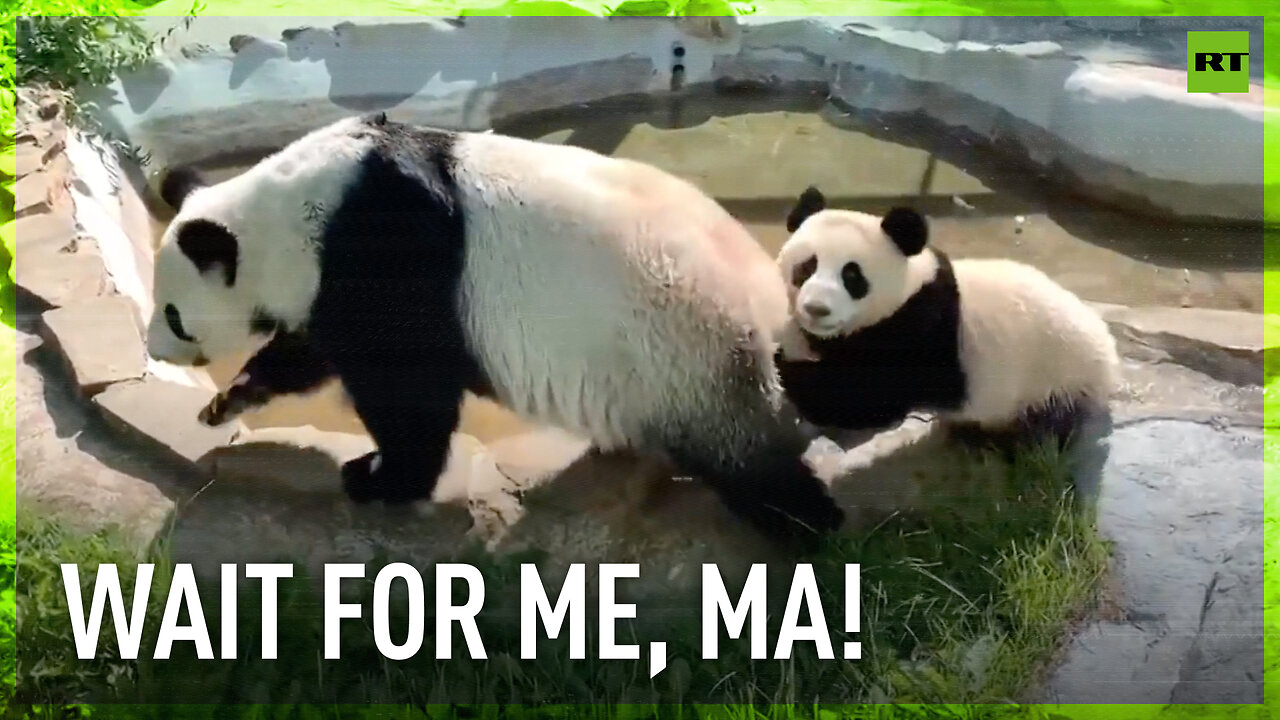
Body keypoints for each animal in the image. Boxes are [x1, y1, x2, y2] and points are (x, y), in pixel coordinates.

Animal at [147, 112, 839, 540]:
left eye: (173, 313)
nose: (152, 347)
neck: (294, 214)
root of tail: (778, 314)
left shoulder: (386, 252)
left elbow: (406, 386)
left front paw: (378, 477)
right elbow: (314, 349)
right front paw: (230, 399)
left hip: (688, 354)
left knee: (749, 460)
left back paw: (816, 530)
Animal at [768, 181, 1121, 445]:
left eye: (852, 277)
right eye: (806, 267)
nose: (816, 309)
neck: (911, 284)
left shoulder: (919, 328)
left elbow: (864, 396)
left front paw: (782, 364)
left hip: (1053, 381)